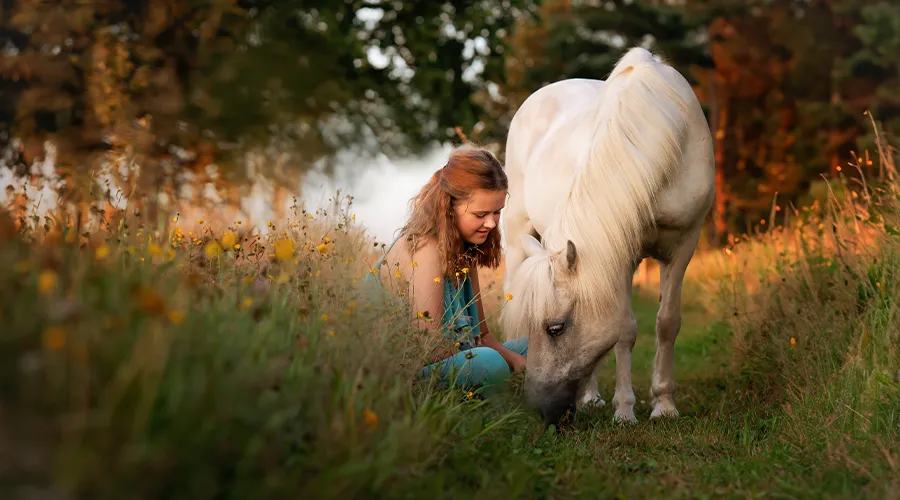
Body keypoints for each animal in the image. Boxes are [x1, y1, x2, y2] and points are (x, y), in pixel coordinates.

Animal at [500, 47, 715, 426]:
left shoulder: (684, 245)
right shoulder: (621, 252)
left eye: (556, 328)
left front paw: (663, 405)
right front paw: (625, 410)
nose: (540, 409)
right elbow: (625, 331)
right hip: (517, 235)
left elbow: (667, 323)